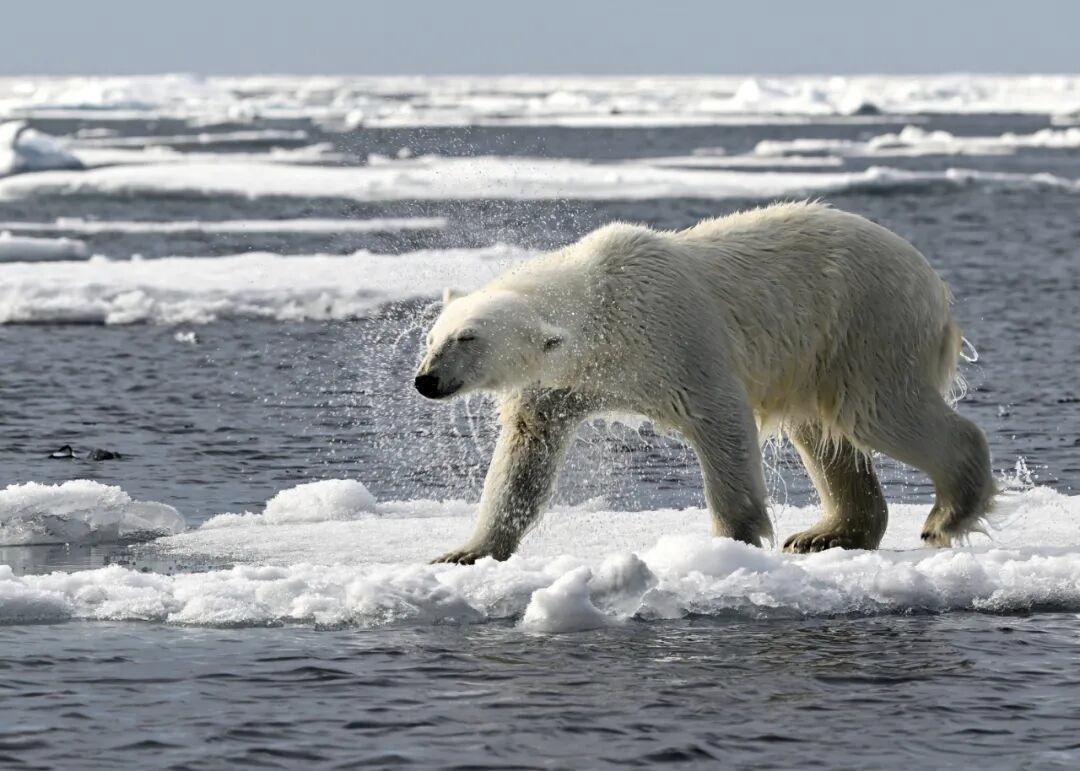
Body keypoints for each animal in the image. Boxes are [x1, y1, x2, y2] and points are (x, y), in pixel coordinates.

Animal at [414, 201, 994, 564]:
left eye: (469, 338)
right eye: (433, 337)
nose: (427, 381)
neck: (601, 302)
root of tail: (933, 284)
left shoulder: (675, 339)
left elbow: (720, 420)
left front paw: (732, 541)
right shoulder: (561, 383)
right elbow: (525, 455)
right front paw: (465, 551)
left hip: (866, 325)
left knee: (878, 410)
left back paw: (945, 517)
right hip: (821, 352)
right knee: (820, 431)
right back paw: (823, 535)